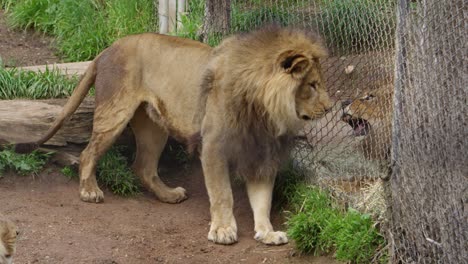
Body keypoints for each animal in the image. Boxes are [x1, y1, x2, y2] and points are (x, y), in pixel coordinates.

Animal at [16, 26, 332, 245]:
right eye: (312, 85)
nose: (330, 108)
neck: (265, 113)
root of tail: (106, 49)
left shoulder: (261, 154)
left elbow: (263, 199)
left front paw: (267, 233)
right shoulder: (213, 146)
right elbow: (222, 194)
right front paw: (223, 230)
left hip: (153, 128)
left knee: (143, 167)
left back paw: (168, 195)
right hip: (114, 113)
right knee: (87, 153)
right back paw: (89, 191)